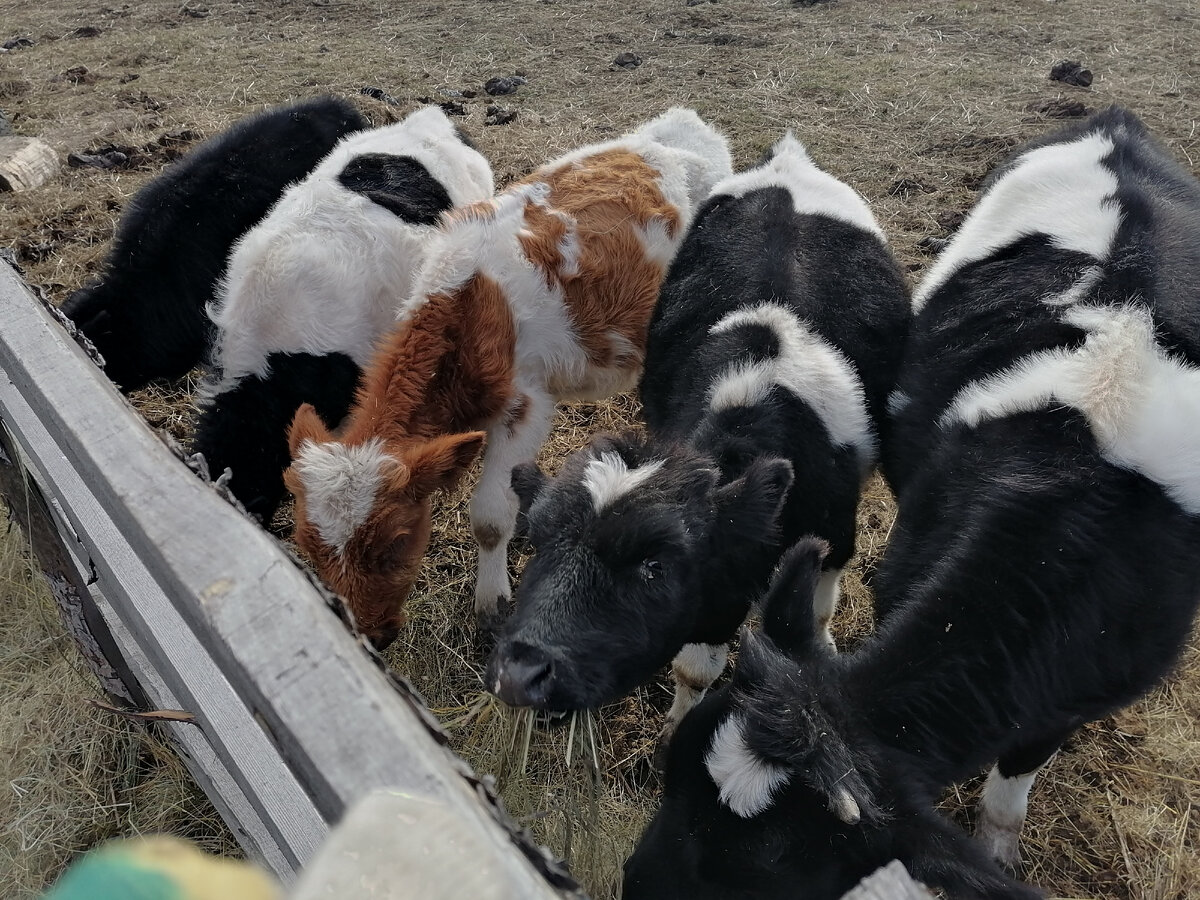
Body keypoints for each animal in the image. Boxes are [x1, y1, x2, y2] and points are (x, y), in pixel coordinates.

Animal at [282, 109, 734, 648]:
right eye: (308, 548)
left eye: (396, 542)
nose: (368, 636)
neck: (472, 306)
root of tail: (686, 127)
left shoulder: (527, 403)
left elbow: (489, 518)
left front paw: (493, 603)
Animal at [487, 133, 907, 748]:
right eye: (537, 541)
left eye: (655, 565)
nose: (520, 672)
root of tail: (787, 161)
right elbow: (695, 667)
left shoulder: (835, 529)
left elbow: (820, 604)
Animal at [624, 107, 1200, 900]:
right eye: (673, 776)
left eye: (766, 865)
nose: (632, 882)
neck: (1068, 516)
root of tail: (1117, 126)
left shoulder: (1083, 688)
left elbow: (1005, 795)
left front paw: (997, 854)